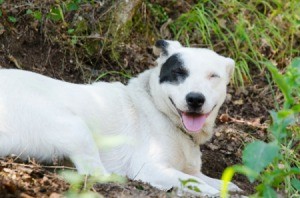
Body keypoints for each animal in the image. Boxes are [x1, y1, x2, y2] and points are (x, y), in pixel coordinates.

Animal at [0, 40, 239, 196]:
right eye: (179, 72)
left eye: (213, 76)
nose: (195, 99)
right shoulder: (149, 166)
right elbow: (193, 182)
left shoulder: (191, 169)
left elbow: (208, 179)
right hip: (74, 127)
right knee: (95, 173)